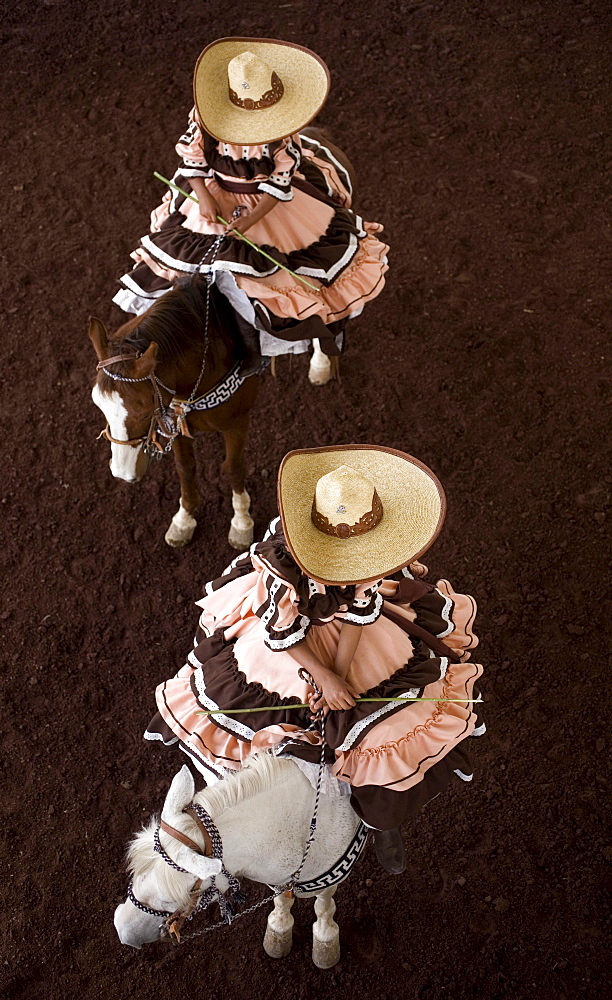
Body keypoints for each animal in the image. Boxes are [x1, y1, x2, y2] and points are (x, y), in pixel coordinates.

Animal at [89, 280, 258, 548]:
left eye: (145, 412)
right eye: (99, 405)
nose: (121, 472)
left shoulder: (237, 423)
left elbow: (233, 467)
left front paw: (241, 523)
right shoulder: (174, 420)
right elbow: (185, 467)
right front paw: (183, 520)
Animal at [115, 752, 366, 964]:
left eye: (169, 900)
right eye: (136, 874)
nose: (123, 930)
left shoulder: (330, 878)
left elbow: (323, 907)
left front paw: (325, 941)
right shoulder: (280, 877)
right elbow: (282, 900)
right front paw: (279, 930)